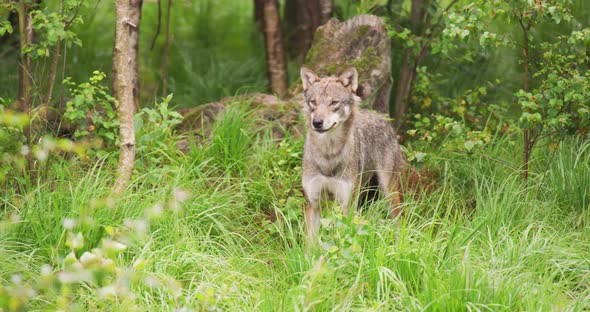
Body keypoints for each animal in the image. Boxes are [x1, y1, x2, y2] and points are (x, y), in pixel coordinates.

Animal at [300, 66, 408, 239]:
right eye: (313, 102)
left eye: (334, 102)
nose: (317, 122)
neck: (328, 154)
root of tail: (382, 118)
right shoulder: (313, 204)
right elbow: (310, 243)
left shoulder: (346, 205)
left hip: (388, 192)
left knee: (398, 222)